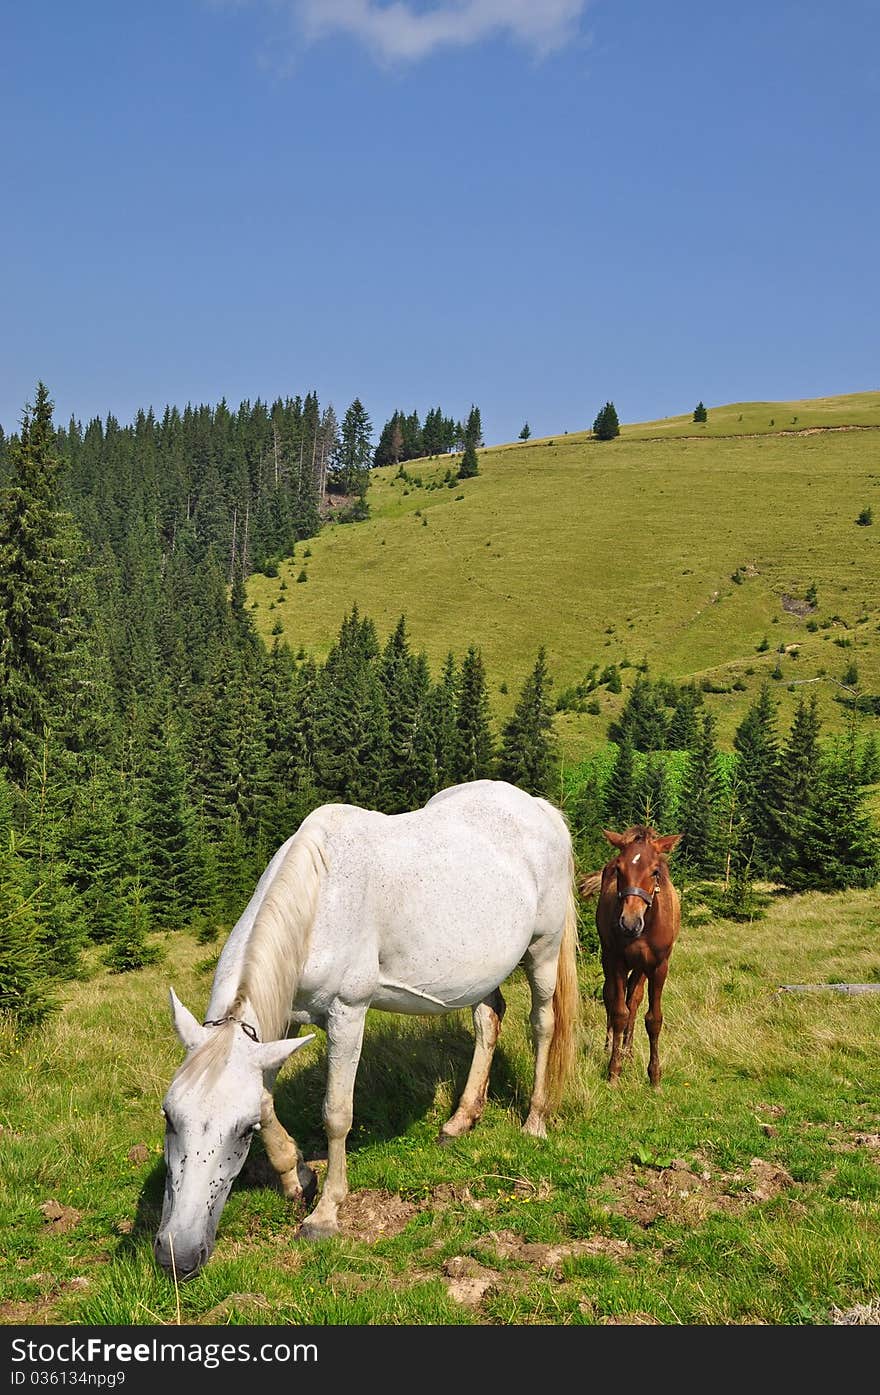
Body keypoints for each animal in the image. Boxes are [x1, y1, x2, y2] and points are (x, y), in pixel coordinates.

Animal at [154, 781, 582, 1277]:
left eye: (241, 1132)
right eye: (169, 1117)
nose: (177, 1254)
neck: (319, 900)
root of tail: (539, 808)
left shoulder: (348, 1012)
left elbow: (336, 1113)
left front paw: (324, 1214)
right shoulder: (278, 1022)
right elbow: (265, 1097)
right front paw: (296, 1175)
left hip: (544, 948)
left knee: (542, 1025)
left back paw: (535, 1120)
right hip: (483, 970)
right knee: (488, 1018)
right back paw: (460, 1120)